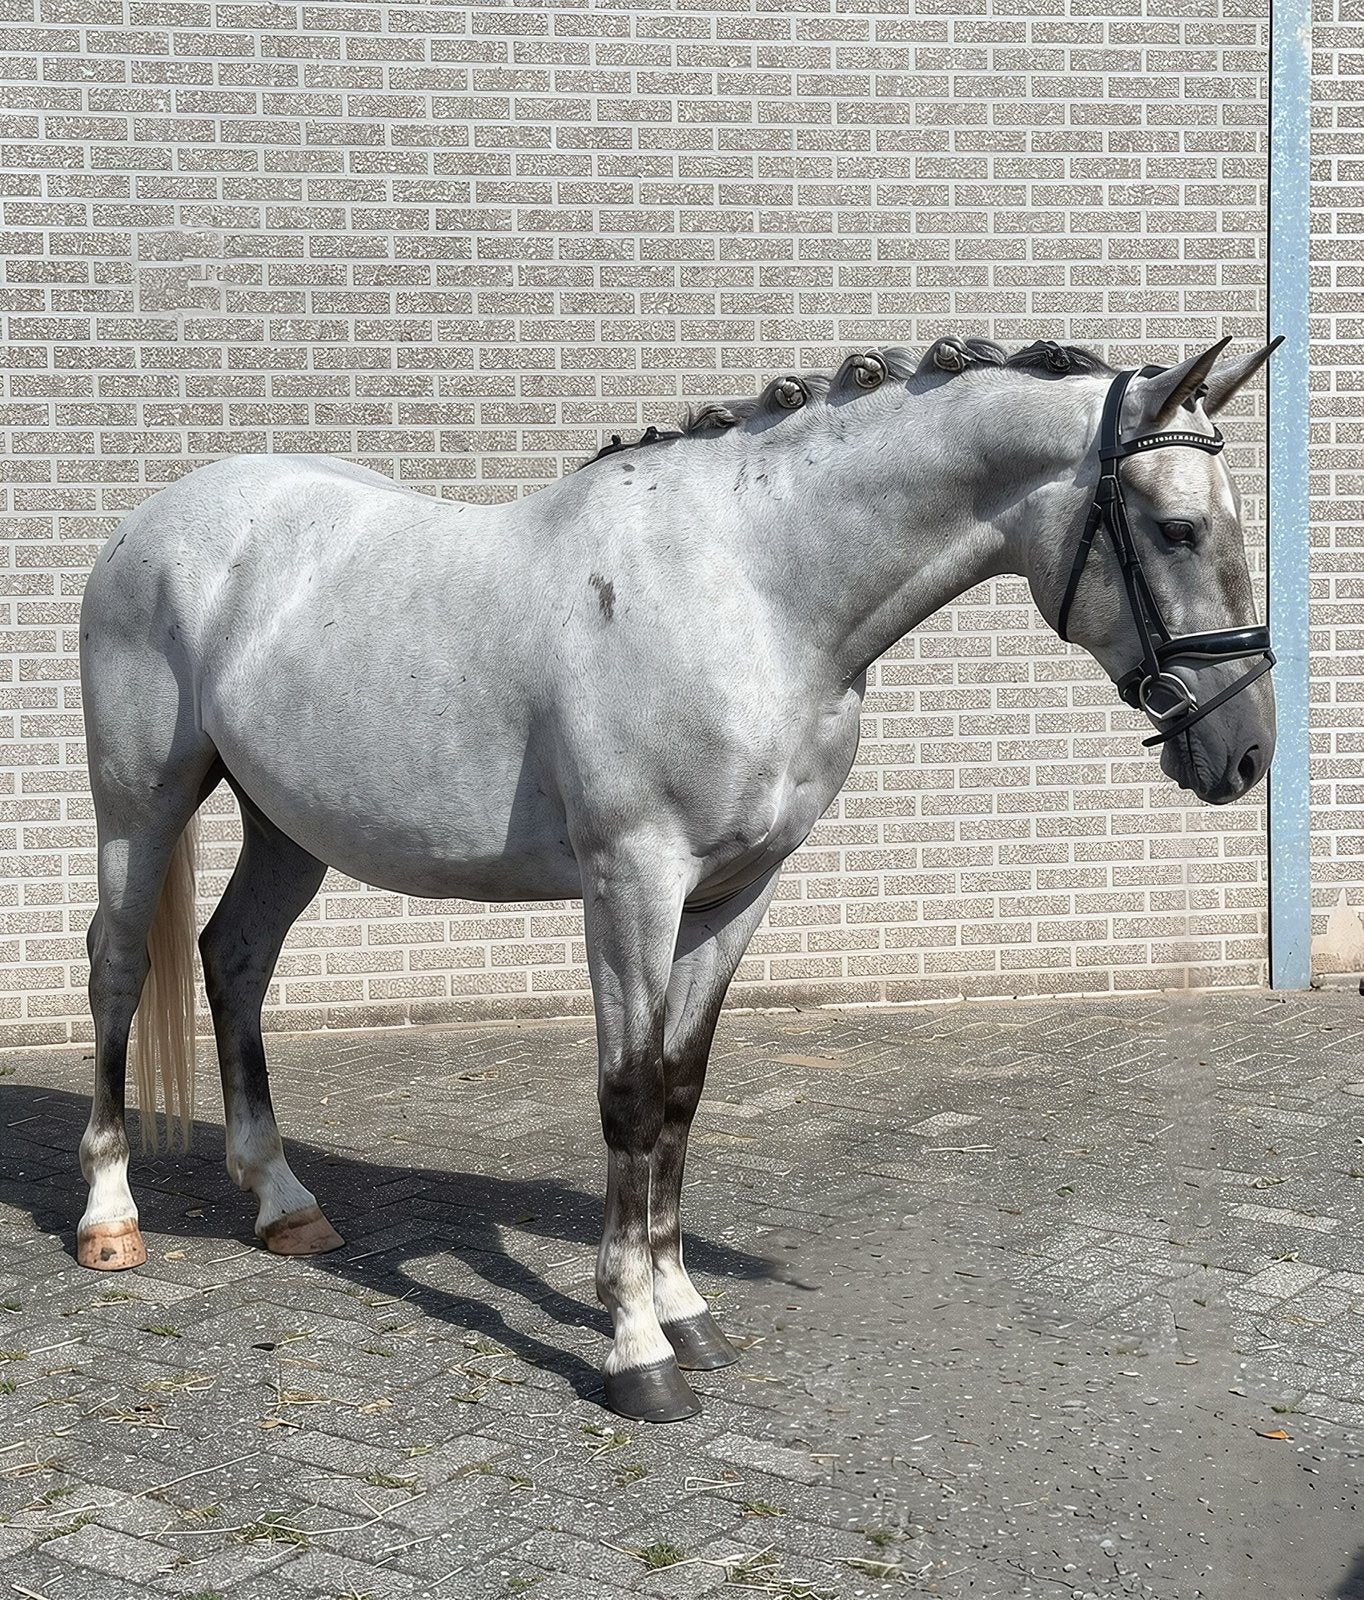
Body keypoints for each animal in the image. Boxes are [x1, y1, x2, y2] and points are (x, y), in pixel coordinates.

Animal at [74, 335, 1279, 1422]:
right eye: (1177, 530)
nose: (1245, 753)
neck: (751, 592)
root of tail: (151, 523)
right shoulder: (632, 886)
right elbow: (630, 1095)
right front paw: (635, 1349)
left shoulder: (737, 892)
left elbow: (683, 1093)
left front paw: (687, 1309)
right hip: (140, 806)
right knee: (117, 969)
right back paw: (110, 1218)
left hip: (287, 826)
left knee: (234, 958)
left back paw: (283, 1204)